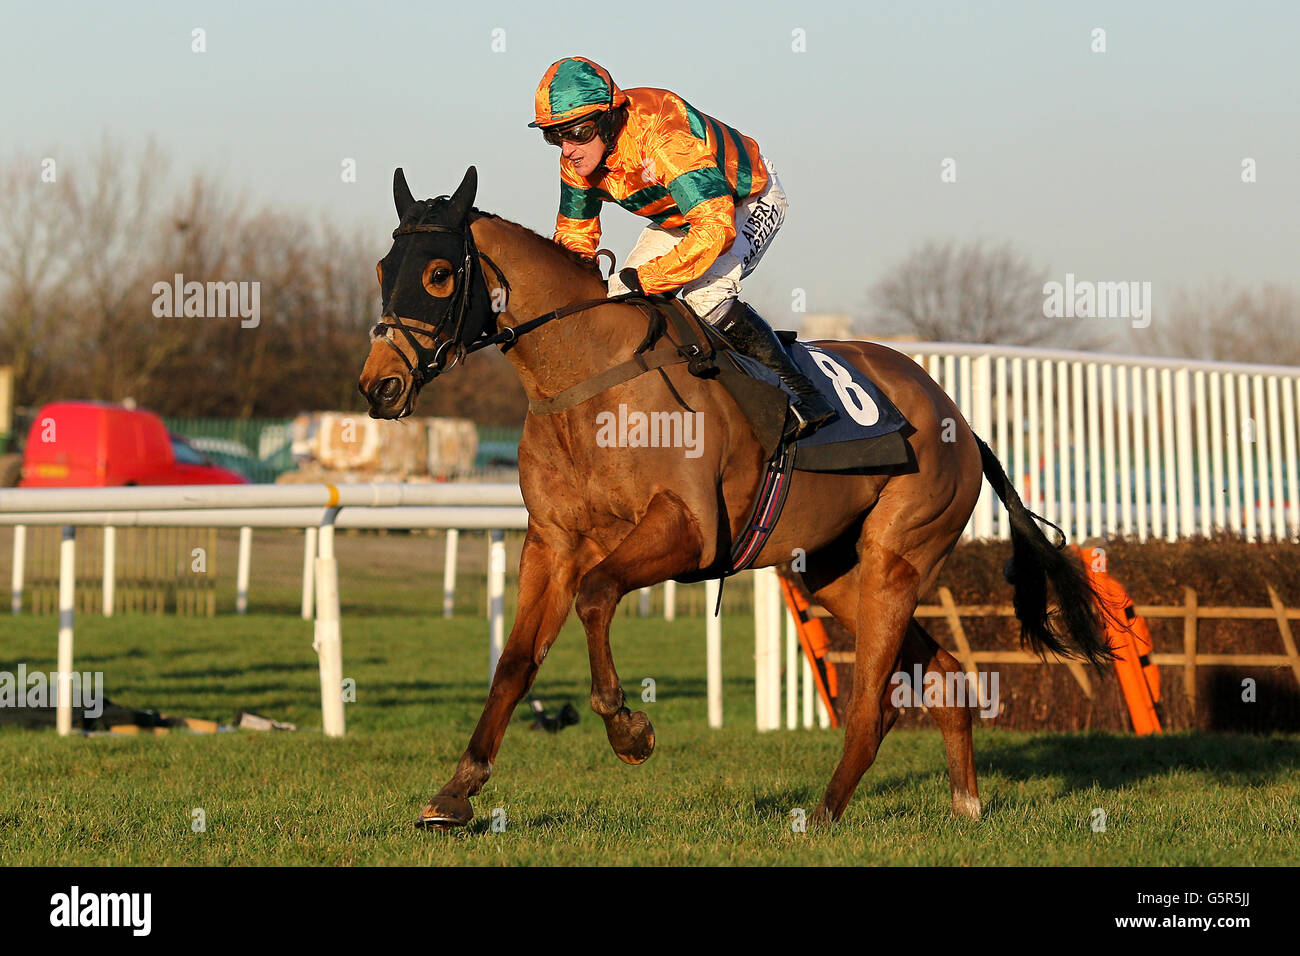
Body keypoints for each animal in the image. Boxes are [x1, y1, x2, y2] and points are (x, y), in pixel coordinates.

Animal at [357, 166, 1111, 829]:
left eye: (438, 274)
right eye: (382, 271)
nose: (379, 385)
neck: (587, 378)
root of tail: (959, 419)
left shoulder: (687, 532)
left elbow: (596, 596)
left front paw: (630, 730)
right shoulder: (551, 541)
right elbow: (514, 663)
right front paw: (455, 792)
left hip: (898, 557)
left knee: (872, 704)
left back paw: (823, 814)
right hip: (835, 572)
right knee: (945, 676)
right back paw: (966, 804)